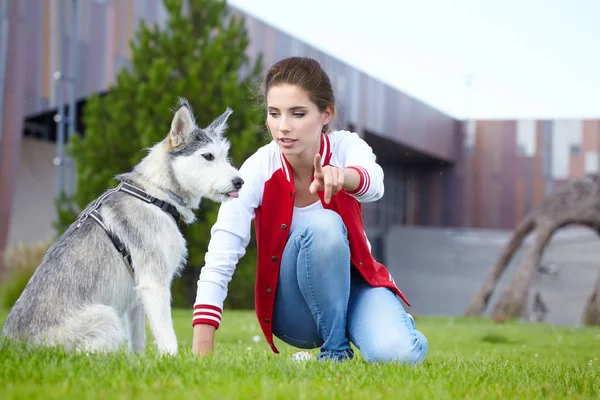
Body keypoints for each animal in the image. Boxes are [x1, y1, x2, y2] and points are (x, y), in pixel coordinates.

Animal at [2, 98, 241, 354]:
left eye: (225, 156)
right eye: (208, 156)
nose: (240, 181)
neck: (155, 195)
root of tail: (13, 344)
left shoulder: (138, 296)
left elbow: (138, 342)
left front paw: (141, 362)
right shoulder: (154, 284)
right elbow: (167, 338)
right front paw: (174, 360)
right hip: (106, 318)